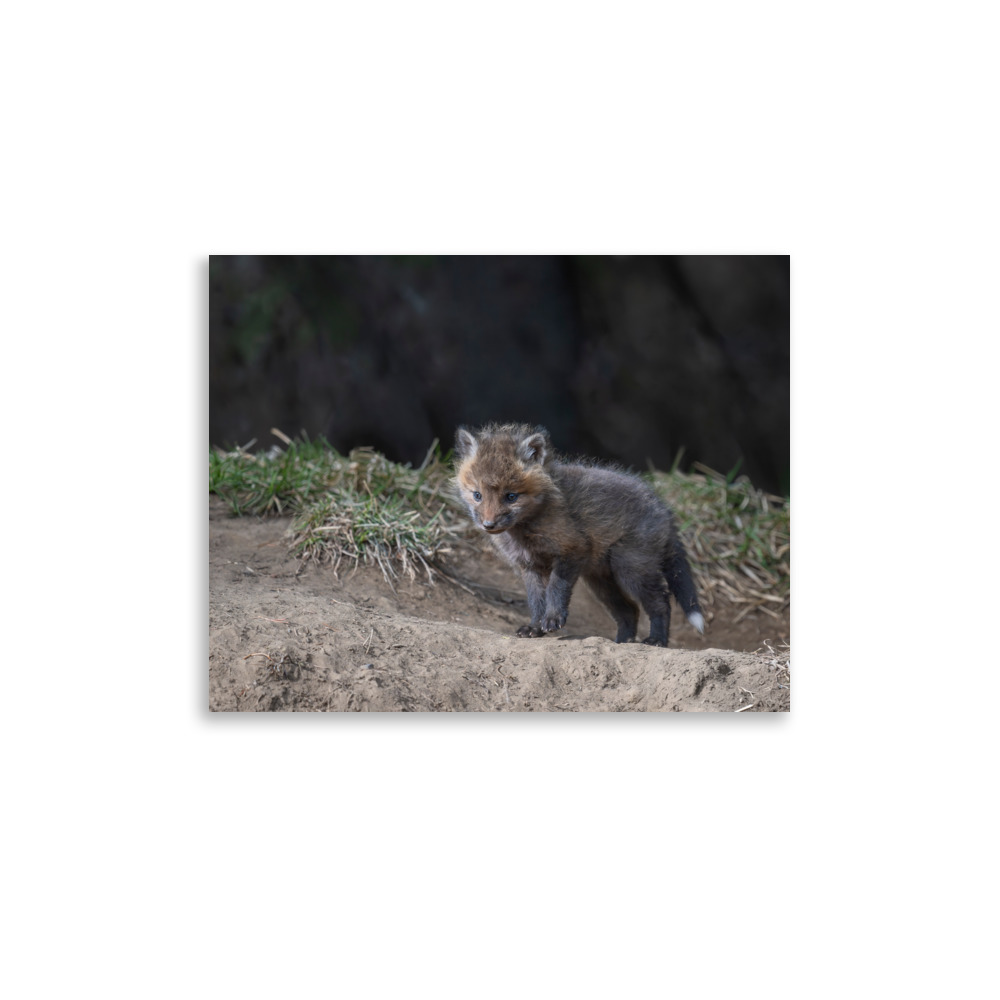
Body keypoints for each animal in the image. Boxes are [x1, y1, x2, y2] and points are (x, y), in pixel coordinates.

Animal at [454, 423, 705, 646]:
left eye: (511, 496)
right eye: (477, 495)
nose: (488, 525)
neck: (525, 532)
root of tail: (663, 508)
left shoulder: (572, 549)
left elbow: (556, 588)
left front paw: (553, 619)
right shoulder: (529, 566)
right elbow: (536, 601)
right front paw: (535, 627)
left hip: (631, 569)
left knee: (661, 602)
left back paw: (656, 640)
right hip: (601, 581)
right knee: (630, 610)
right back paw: (622, 642)